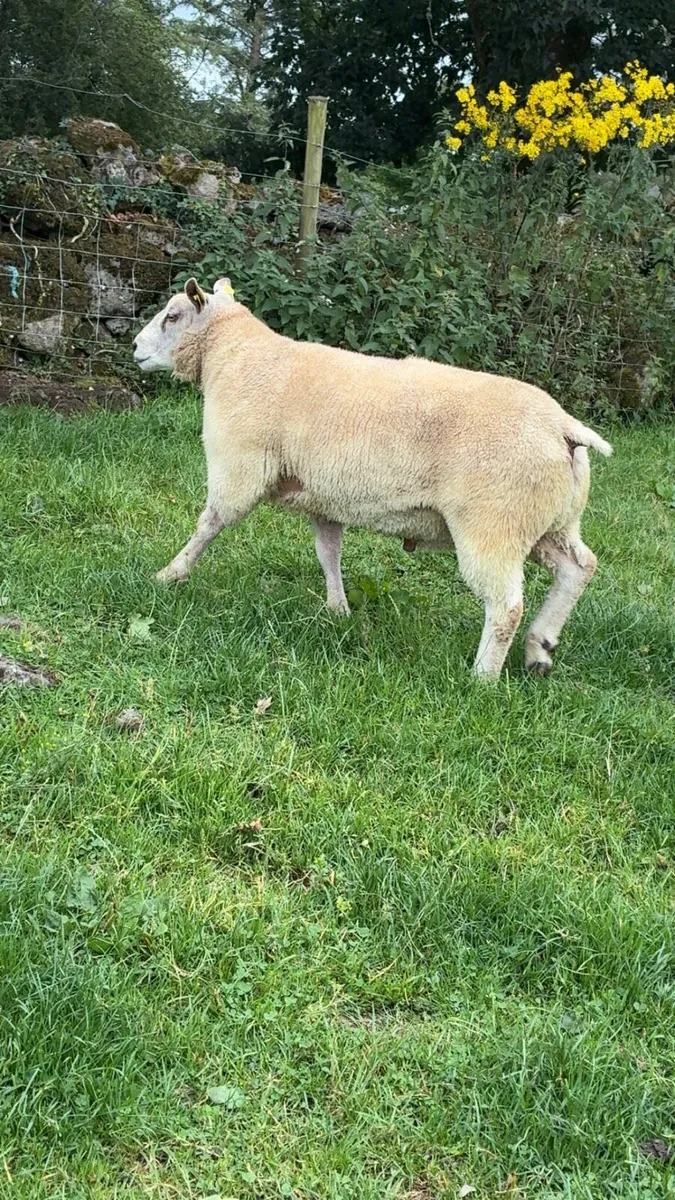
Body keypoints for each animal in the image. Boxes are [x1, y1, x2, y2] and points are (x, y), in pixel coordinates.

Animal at [132, 277, 612, 679]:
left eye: (172, 316)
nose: (135, 346)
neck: (232, 358)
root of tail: (564, 428)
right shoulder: (323, 495)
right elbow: (329, 553)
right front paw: (338, 608)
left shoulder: (240, 468)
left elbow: (209, 524)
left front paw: (170, 574)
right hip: (549, 522)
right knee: (579, 567)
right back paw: (540, 648)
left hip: (494, 524)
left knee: (507, 605)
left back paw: (483, 678)